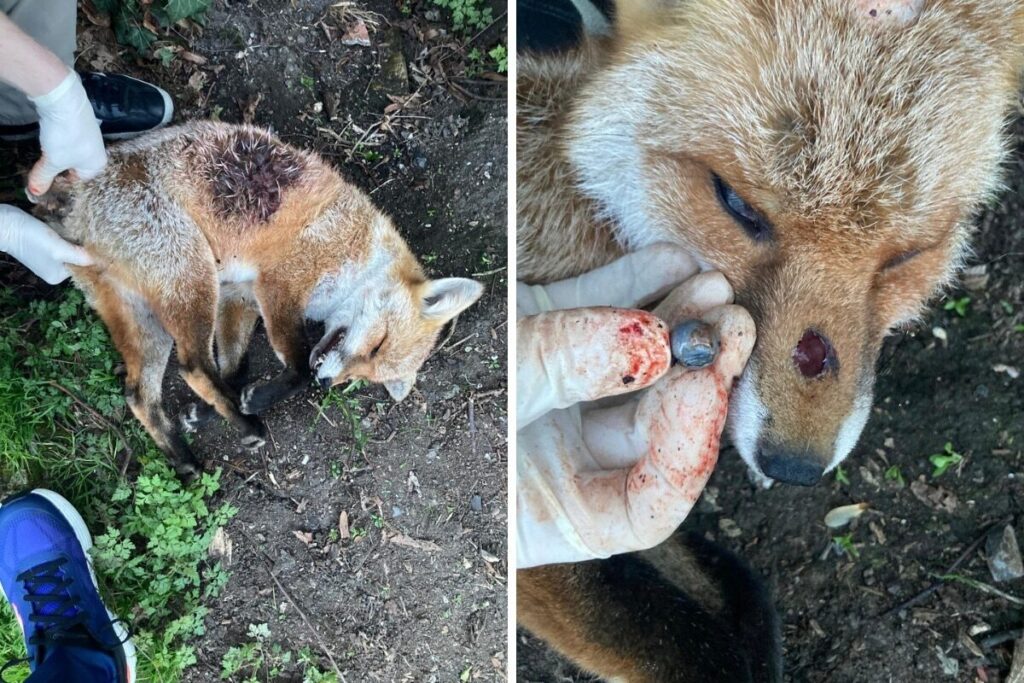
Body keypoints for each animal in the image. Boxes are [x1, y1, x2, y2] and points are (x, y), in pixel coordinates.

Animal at [35, 121, 483, 482]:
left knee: (140, 395)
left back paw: (186, 457)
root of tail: (77, 198)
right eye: (378, 344)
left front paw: (210, 411)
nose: (328, 384)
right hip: (191, 277)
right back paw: (248, 427)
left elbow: (234, 370)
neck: (359, 252)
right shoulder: (280, 285)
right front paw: (259, 399)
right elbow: (297, 364)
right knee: (193, 366)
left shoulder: (239, 298)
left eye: (365, 376)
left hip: (151, 316)